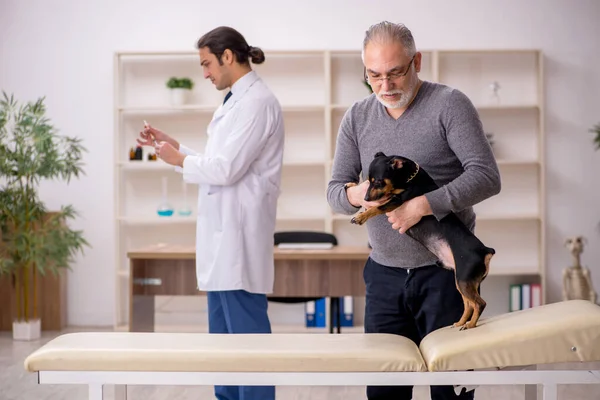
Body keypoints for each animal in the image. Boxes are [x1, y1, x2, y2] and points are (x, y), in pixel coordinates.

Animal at [350, 152, 494, 330]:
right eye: (368, 181)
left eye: (378, 181)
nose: (365, 197)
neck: (410, 177)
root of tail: (485, 251)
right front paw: (353, 192)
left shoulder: (397, 200)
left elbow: (378, 207)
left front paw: (361, 217)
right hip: (461, 281)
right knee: (468, 304)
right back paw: (461, 322)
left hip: (464, 279)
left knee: (479, 304)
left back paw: (470, 325)